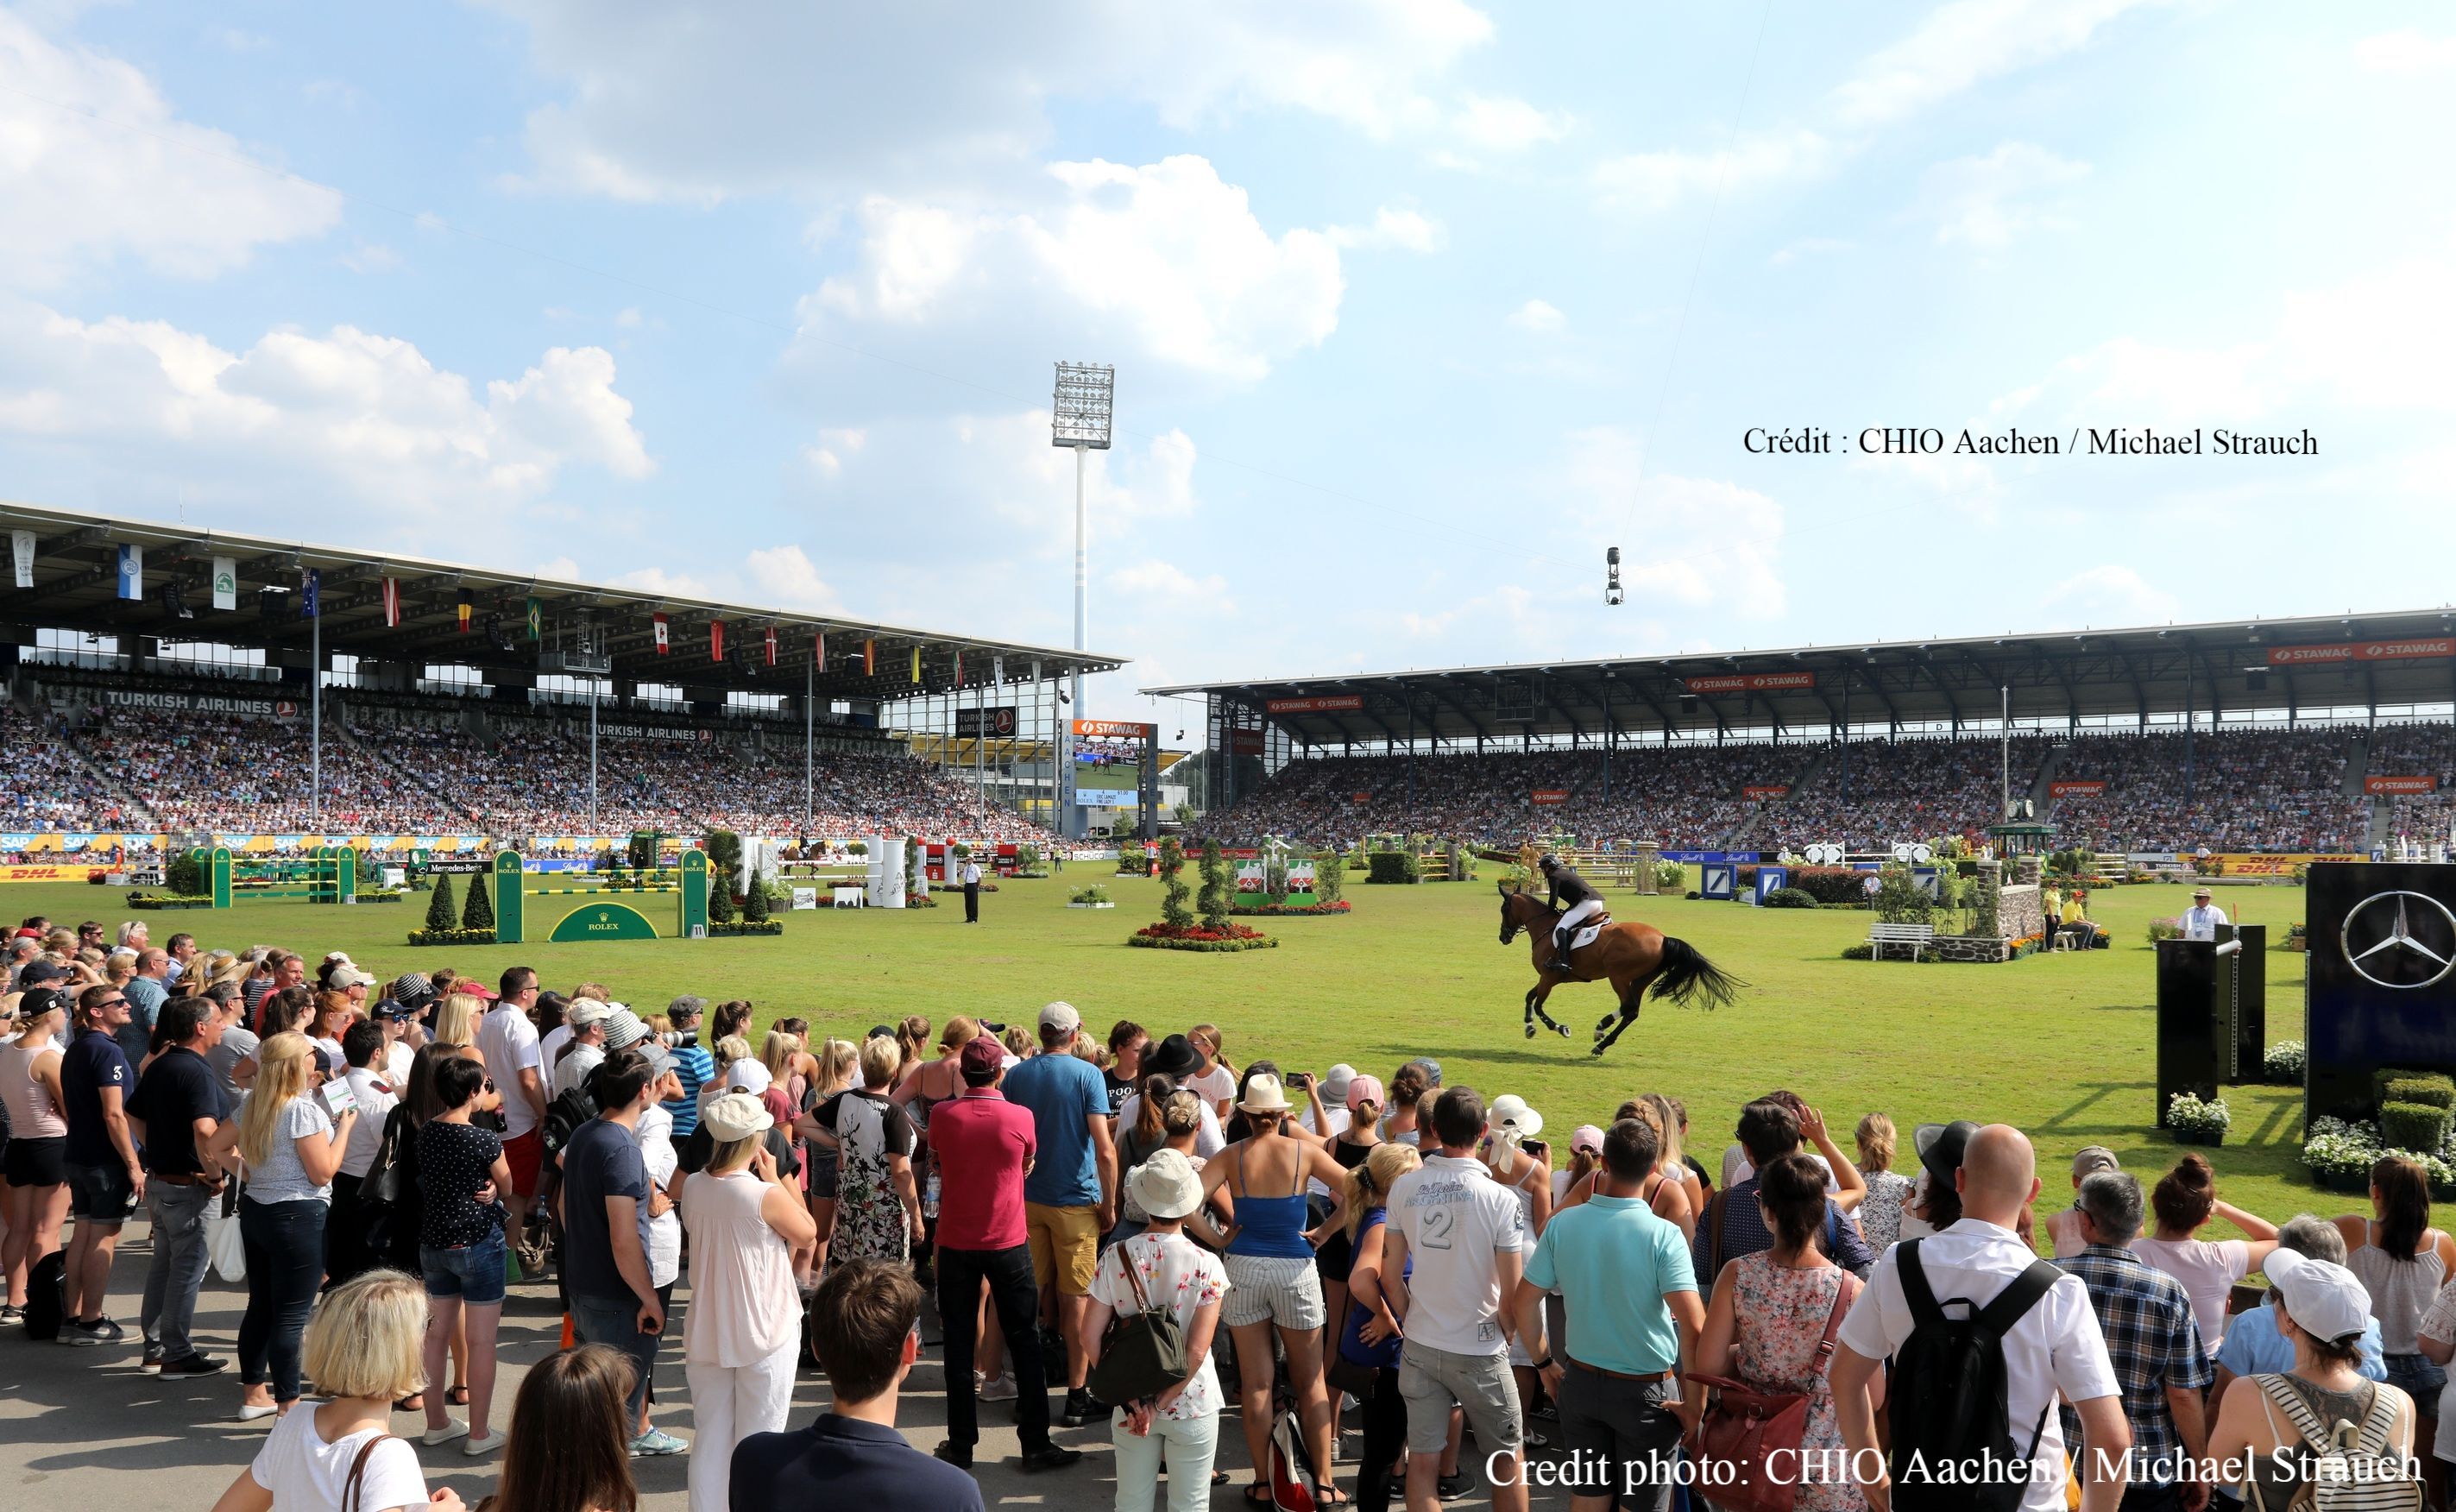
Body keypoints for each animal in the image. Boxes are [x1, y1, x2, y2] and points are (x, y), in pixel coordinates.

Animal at [1493, 879, 1748, 1055]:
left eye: (1504, 910)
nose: (1503, 937)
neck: (1545, 929)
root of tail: (1663, 938)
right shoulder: (1550, 978)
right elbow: (1529, 997)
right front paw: (1529, 1027)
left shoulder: (1549, 977)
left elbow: (1538, 1005)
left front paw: (1561, 1028)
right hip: (1640, 979)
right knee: (1632, 1010)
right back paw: (1602, 1041)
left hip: (1618, 975)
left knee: (1628, 1006)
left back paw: (1601, 1028)